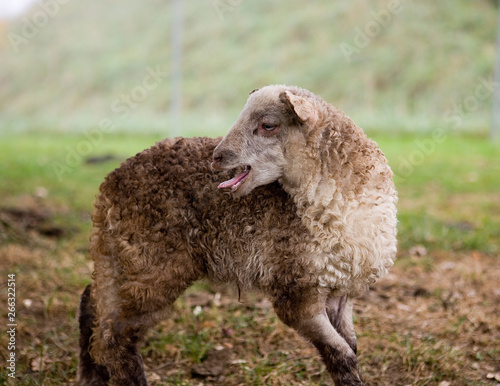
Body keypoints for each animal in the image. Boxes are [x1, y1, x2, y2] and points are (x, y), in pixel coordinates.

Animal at [77, 85, 398, 386]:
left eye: (268, 125)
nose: (217, 157)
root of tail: (109, 185)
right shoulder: (296, 289)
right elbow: (340, 354)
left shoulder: (340, 288)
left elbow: (349, 347)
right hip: (151, 265)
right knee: (115, 335)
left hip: (120, 258)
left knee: (93, 307)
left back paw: (91, 375)